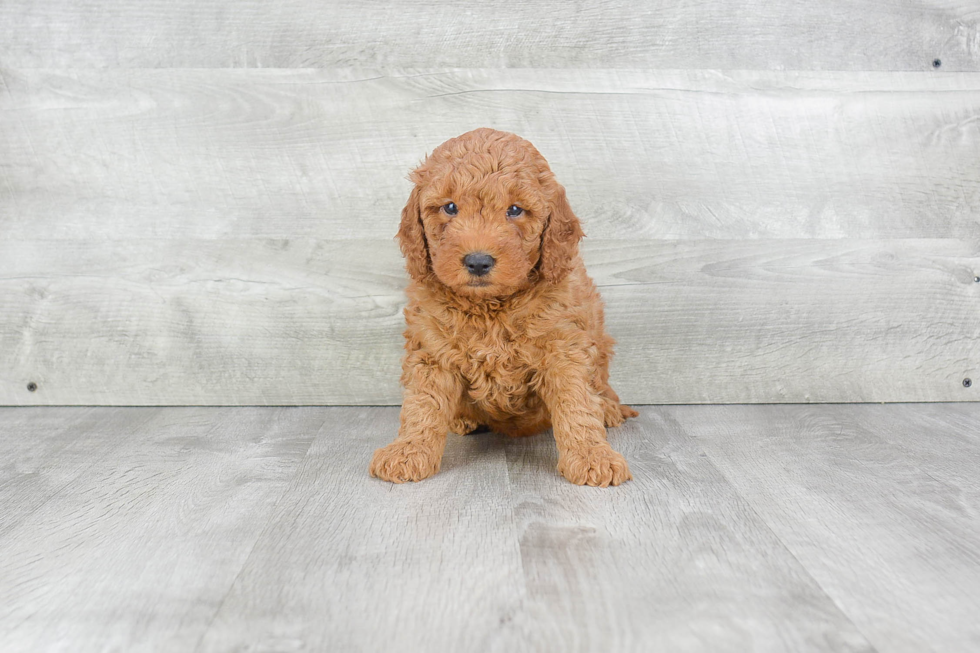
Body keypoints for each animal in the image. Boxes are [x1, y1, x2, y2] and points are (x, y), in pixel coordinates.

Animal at [368, 129, 636, 484]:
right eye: (450, 207)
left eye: (515, 210)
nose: (478, 261)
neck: (490, 308)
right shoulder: (431, 352)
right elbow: (422, 405)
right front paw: (407, 451)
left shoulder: (564, 348)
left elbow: (577, 404)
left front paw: (593, 456)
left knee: (602, 388)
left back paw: (608, 410)